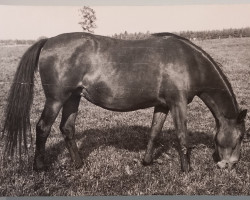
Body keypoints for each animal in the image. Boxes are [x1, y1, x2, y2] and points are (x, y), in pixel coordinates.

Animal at [2, 32, 247, 172]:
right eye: (241, 137)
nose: (230, 165)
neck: (189, 62)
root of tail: (47, 42)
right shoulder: (178, 104)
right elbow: (182, 136)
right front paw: (186, 169)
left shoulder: (163, 104)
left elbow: (154, 132)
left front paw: (147, 162)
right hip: (56, 99)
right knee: (42, 128)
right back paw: (39, 167)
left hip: (73, 97)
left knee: (67, 128)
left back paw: (79, 164)